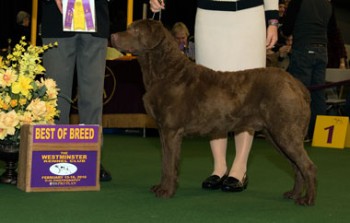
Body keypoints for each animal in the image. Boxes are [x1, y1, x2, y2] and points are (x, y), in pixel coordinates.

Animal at [111, 19, 318, 206]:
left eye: (135, 30)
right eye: (129, 27)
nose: (112, 36)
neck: (164, 72)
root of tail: (297, 85)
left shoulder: (171, 130)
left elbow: (169, 164)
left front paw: (166, 192)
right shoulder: (163, 131)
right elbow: (164, 163)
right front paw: (160, 187)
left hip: (285, 131)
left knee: (308, 166)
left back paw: (307, 200)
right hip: (275, 135)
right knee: (296, 166)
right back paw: (293, 194)